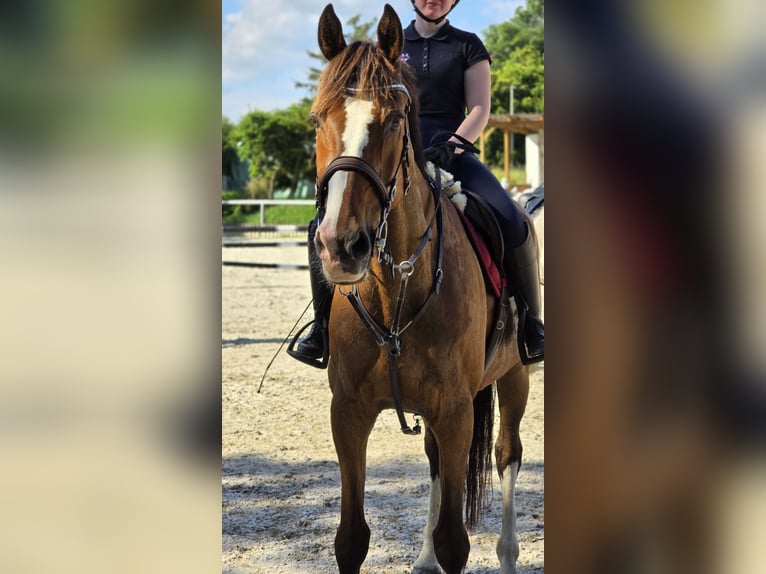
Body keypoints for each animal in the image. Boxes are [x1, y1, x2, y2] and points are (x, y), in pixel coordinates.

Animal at [311, 5, 532, 573]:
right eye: (317, 119)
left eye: (393, 119)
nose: (342, 245)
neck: (394, 291)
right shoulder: (348, 413)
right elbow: (350, 538)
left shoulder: (454, 411)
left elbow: (457, 539)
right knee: (435, 462)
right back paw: (424, 557)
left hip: (515, 374)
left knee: (507, 455)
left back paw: (507, 552)